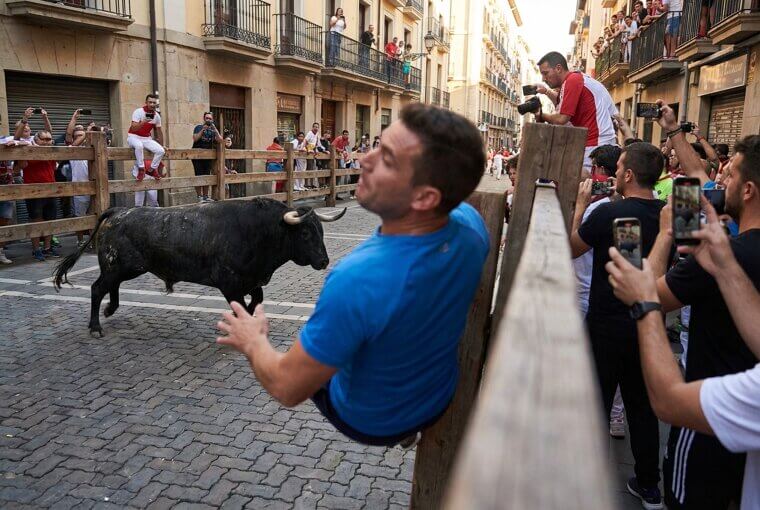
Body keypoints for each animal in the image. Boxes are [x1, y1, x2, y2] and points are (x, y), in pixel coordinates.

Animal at [54, 198, 346, 336]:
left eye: (321, 231)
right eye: (305, 233)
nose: (324, 261)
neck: (258, 231)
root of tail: (117, 211)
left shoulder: (250, 281)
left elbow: (256, 300)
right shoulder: (230, 284)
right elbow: (241, 306)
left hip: (122, 268)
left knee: (109, 287)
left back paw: (109, 309)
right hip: (118, 266)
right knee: (97, 288)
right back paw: (95, 326)